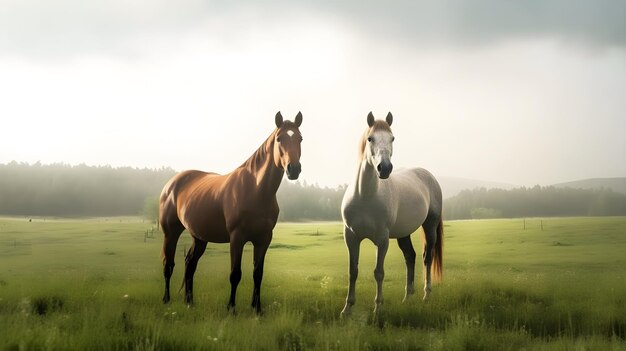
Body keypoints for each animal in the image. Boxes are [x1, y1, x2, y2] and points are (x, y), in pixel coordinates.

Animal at [157, 111, 302, 314]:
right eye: (279, 139)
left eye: (300, 138)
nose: (293, 169)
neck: (255, 190)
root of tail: (171, 184)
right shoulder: (237, 237)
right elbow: (235, 274)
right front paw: (231, 308)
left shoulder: (264, 239)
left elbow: (258, 274)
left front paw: (257, 309)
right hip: (170, 233)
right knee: (168, 265)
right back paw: (166, 299)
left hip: (199, 237)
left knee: (190, 263)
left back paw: (189, 301)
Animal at [338, 112, 442, 316]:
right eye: (370, 138)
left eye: (392, 138)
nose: (384, 168)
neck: (365, 196)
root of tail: (429, 176)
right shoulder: (351, 236)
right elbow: (352, 271)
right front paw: (347, 309)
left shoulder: (382, 239)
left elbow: (379, 272)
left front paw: (378, 307)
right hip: (404, 233)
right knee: (410, 257)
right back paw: (407, 298)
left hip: (430, 225)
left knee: (427, 258)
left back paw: (426, 295)